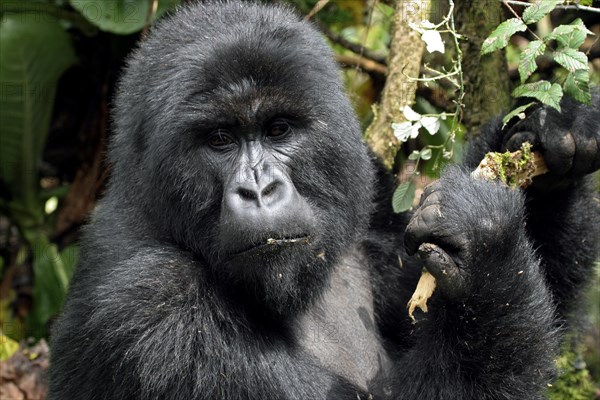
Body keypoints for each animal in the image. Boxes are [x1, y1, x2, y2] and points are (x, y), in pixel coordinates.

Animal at [49, 1, 596, 398]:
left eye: (279, 129)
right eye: (220, 139)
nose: (259, 190)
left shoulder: (370, 193)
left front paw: (546, 137)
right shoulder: (148, 305)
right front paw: (489, 245)